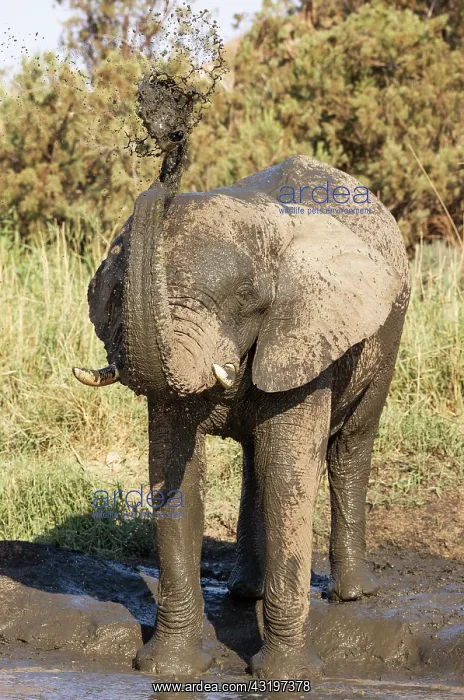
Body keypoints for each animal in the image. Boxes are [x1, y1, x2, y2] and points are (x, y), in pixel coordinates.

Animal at [73, 153, 410, 679]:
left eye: (249, 297)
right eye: (120, 289)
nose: (167, 167)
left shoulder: (305, 338)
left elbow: (289, 478)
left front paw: (286, 677)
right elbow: (176, 477)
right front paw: (168, 669)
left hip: (389, 336)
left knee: (351, 445)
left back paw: (353, 594)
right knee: (257, 463)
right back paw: (243, 591)